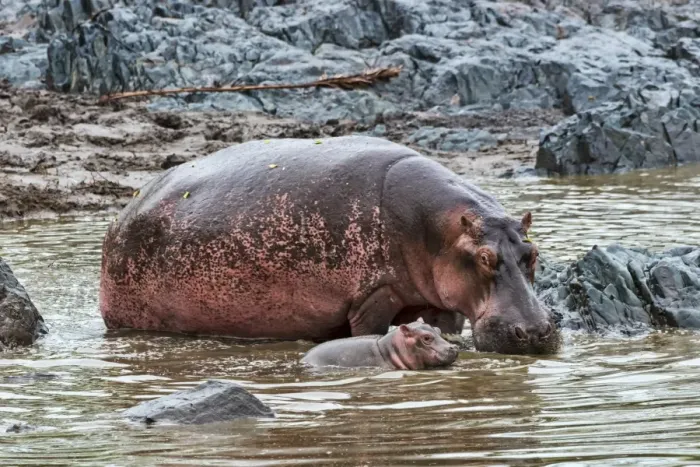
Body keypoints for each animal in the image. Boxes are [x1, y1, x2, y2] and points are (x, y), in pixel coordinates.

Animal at [100, 135, 560, 355]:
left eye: (533, 253)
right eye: (484, 257)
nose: (537, 331)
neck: (441, 231)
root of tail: (120, 217)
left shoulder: (439, 302)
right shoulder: (374, 295)